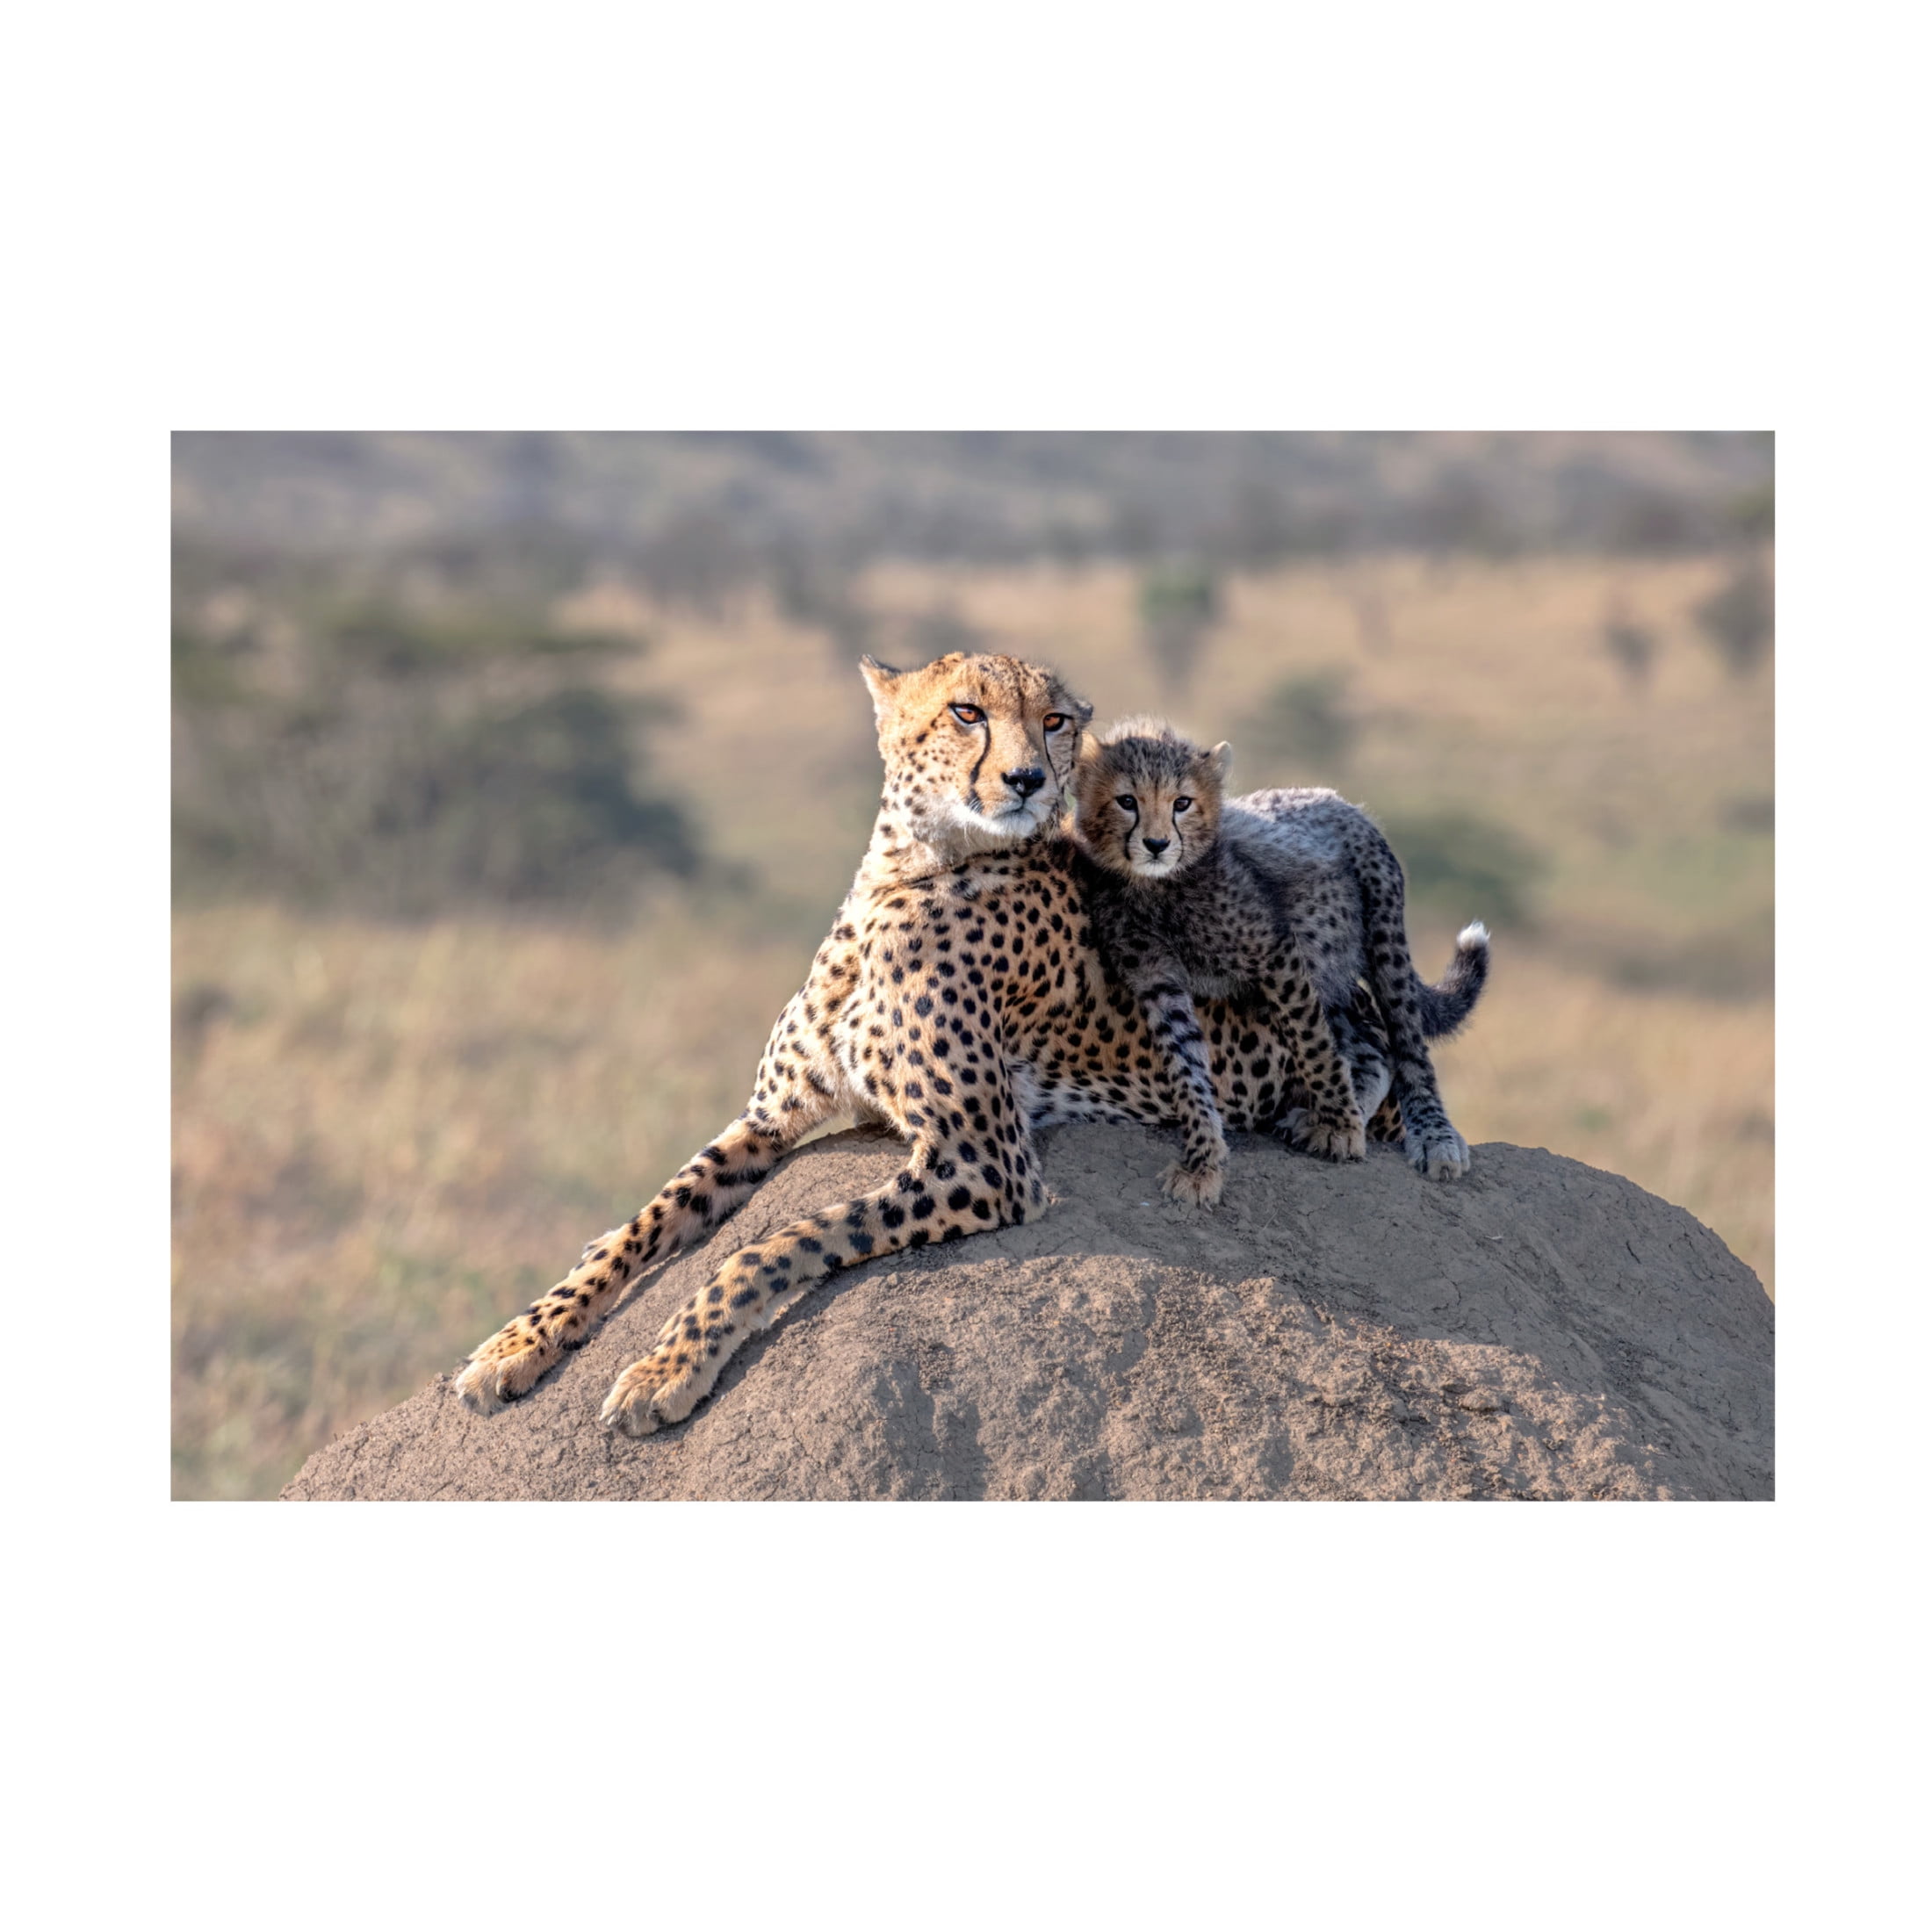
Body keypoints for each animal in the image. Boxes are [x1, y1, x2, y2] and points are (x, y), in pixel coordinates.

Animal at [453, 651, 1340, 1438]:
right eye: (966, 712)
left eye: (1053, 721)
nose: (1028, 780)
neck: (908, 871)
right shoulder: (768, 1118)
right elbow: (650, 1216)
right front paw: (519, 1340)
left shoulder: (985, 1162)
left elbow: (776, 1243)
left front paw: (665, 1368)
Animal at [1069, 718, 1375, 1209]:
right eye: (1127, 801)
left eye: (1182, 803)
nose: (1157, 844)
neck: (1157, 890)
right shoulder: (1157, 981)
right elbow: (1187, 1066)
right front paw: (1202, 1160)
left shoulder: (1273, 952)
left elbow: (1312, 1041)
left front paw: (1341, 1124)